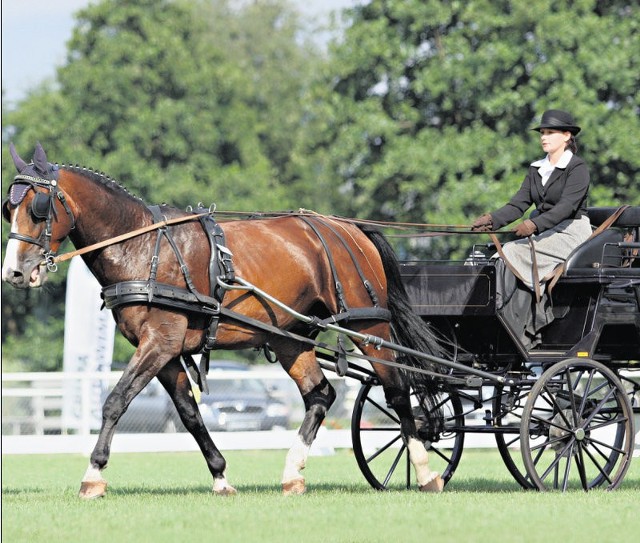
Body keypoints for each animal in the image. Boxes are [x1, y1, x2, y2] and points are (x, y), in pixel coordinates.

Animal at [1, 143, 444, 498]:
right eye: (10, 208)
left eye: (38, 209)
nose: (15, 273)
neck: (142, 246)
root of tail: (349, 228)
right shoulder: (166, 351)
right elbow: (190, 415)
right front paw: (220, 477)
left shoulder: (159, 341)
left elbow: (115, 401)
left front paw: (93, 476)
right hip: (290, 337)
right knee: (320, 395)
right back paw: (292, 472)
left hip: (369, 327)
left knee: (397, 390)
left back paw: (424, 471)